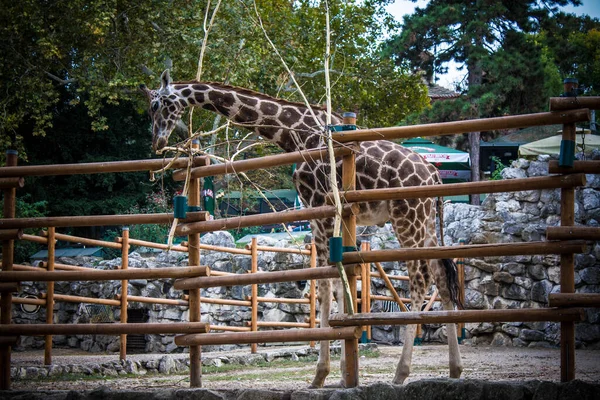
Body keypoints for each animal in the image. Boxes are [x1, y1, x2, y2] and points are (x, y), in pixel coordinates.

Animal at [141, 70, 464, 386]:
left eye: (157, 105)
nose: (157, 141)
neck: (295, 133)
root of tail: (433, 173)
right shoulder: (328, 214)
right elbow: (335, 286)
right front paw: (342, 370)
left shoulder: (321, 209)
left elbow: (325, 285)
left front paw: (322, 374)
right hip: (426, 222)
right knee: (442, 277)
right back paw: (454, 369)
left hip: (408, 216)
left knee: (420, 279)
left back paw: (401, 373)